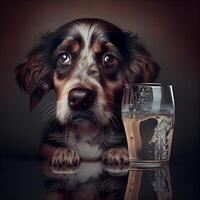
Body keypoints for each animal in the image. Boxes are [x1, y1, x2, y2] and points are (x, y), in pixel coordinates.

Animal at [15, 18, 159, 166]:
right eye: (64, 57)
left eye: (109, 58)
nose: (80, 98)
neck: (87, 131)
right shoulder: (47, 144)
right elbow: (48, 148)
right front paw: (62, 152)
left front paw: (118, 151)